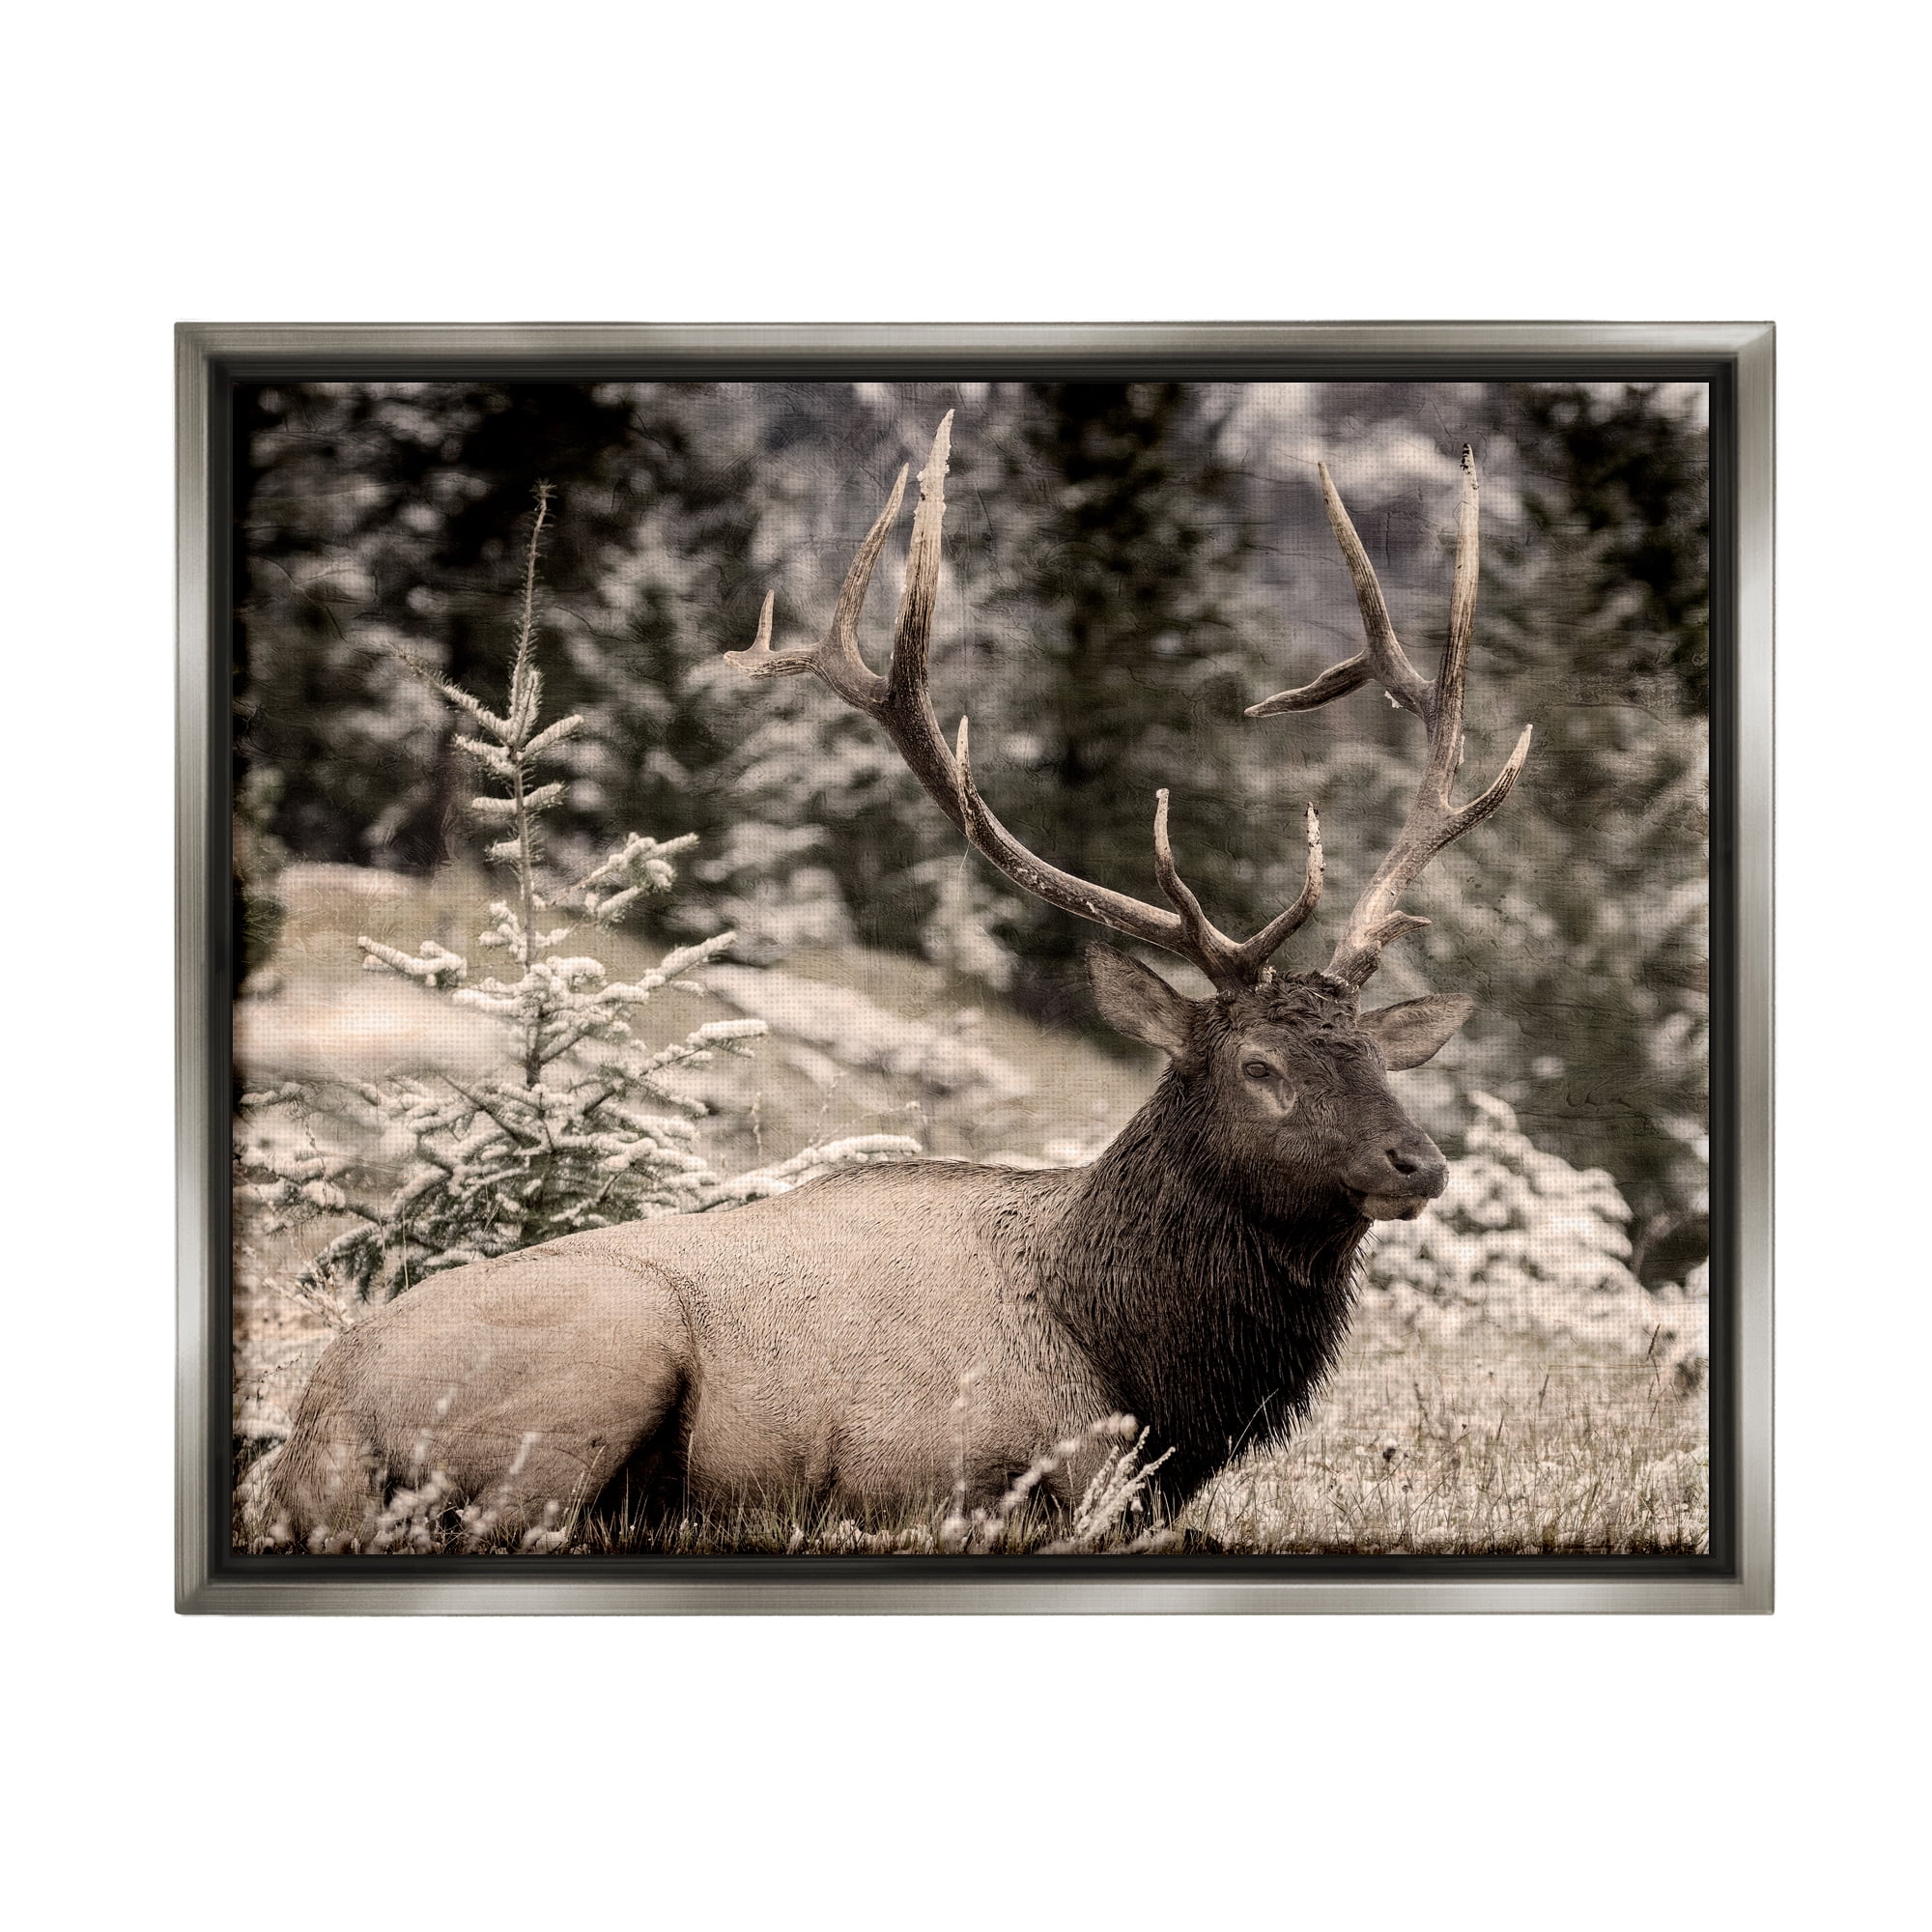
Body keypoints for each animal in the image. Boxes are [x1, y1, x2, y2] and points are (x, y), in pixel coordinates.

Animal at [261, 415, 1531, 1547]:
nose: (1416, 1159)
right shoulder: (951, 1463)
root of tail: (312, 1434)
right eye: (1259, 1064)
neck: (1141, 1367)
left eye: (1371, 1053)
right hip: (604, 1344)